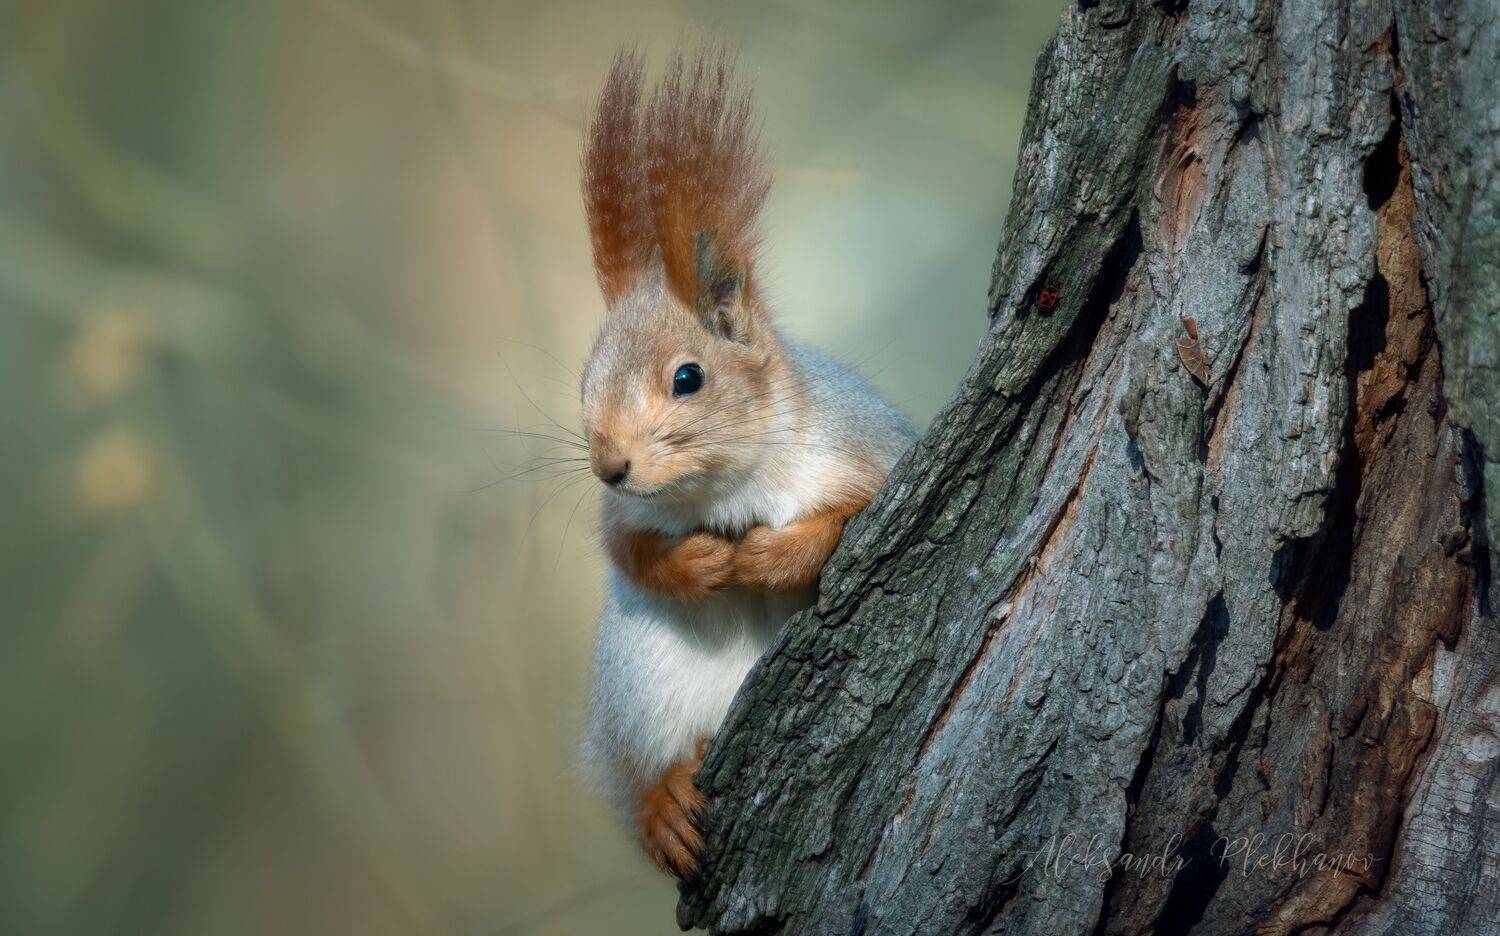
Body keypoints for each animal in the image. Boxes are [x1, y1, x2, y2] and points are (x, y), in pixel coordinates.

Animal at [576, 48, 917, 879]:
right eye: (584, 381)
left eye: (687, 378)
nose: (609, 467)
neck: (725, 486)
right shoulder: (624, 514)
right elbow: (625, 550)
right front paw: (698, 565)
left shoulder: (867, 445)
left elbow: (849, 518)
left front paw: (769, 556)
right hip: (636, 686)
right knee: (636, 779)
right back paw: (663, 805)